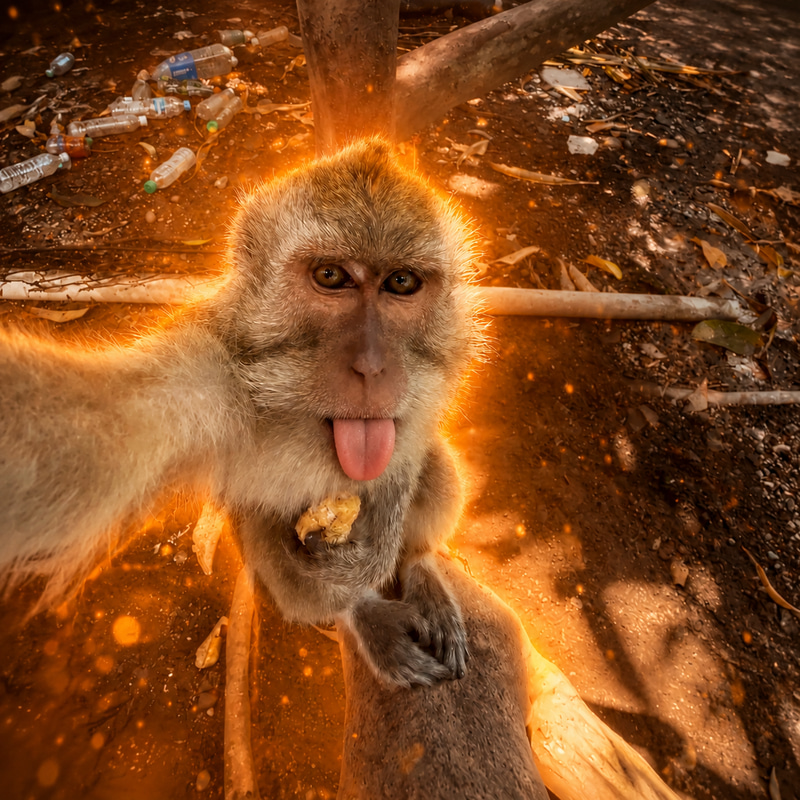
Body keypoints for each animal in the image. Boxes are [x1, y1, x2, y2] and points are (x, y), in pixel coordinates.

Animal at [0, 139, 485, 688]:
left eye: (401, 282)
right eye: (330, 276)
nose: (371, 366)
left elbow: (408, 460)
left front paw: (384, 544)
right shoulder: (208, 381)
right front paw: (359, 575)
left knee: (438, 470)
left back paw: (420, 565)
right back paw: (360, 609)